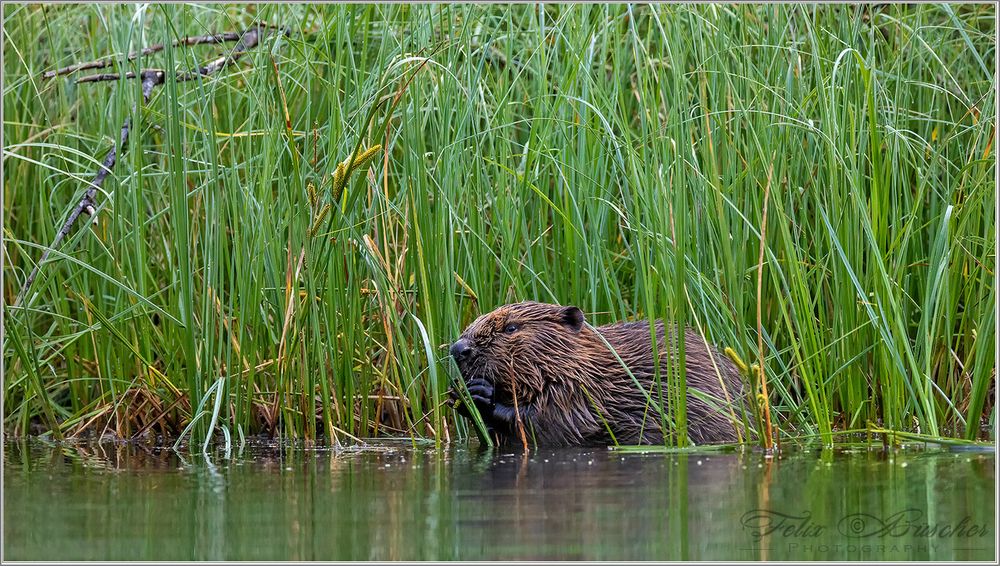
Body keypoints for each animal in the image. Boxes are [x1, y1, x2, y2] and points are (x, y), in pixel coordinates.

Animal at [452, 302, 752, 448]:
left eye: (511, 328)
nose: (458, 349)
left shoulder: (579, 391)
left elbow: (555, 424)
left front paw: (481, 395)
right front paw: (459, 395)